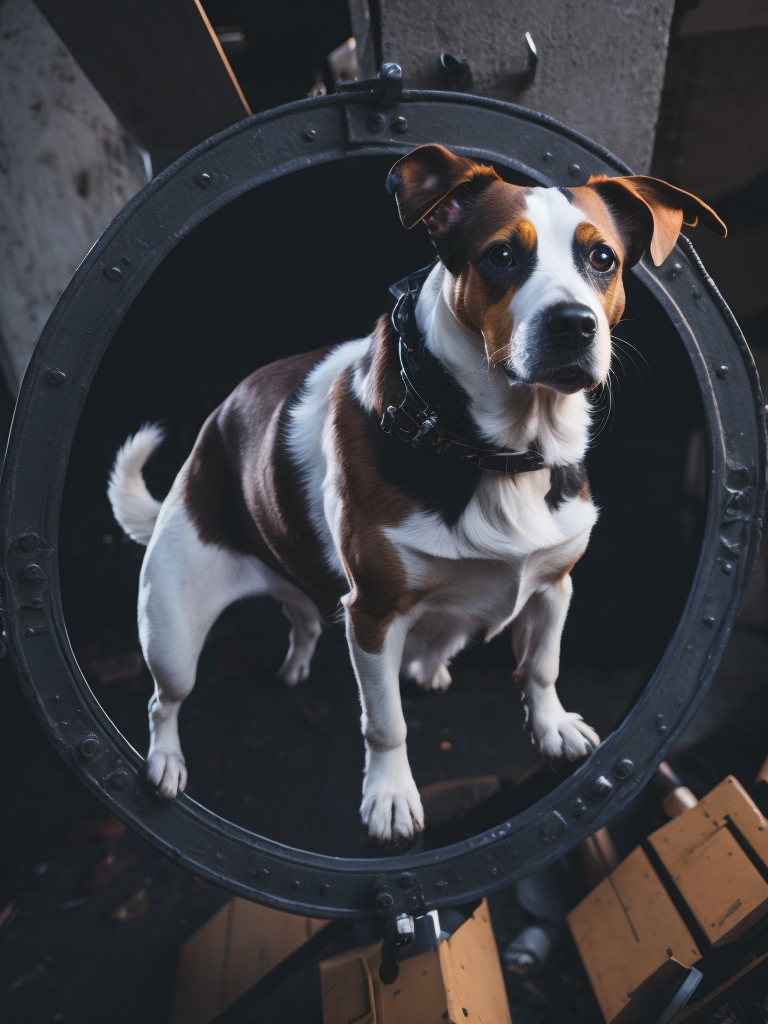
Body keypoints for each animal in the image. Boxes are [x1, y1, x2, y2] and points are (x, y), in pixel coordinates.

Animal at [108, 146, 729, 847]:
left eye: (603, 259)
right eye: (501, 256)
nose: (573, 325)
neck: (498, 454)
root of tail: (207, 439)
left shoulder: (553, 585)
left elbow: (541, 667)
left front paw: (551, 727)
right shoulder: (373, 615)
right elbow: (386, 722)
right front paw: (389, 795)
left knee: (309, 616)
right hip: (172, 629)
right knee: (165, 699)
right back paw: (165, 761)